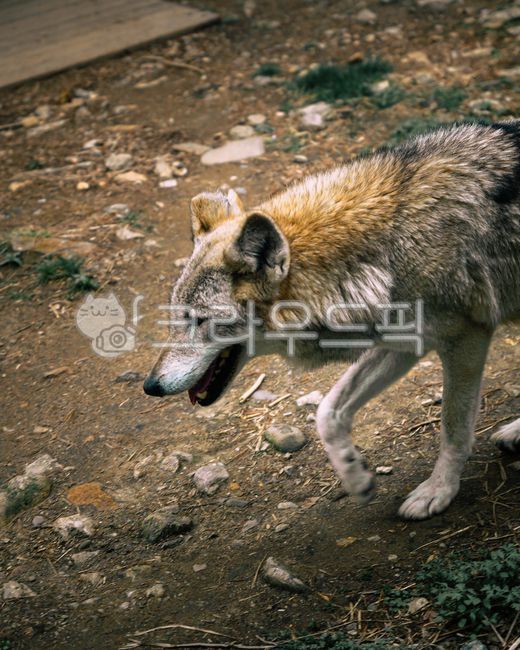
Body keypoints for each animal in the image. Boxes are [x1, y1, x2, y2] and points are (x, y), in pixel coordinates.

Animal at [144, 121, 520, 520]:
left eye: (200, 320)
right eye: (177, 315)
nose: (150, 386)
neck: (386, 249)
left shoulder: (465, 339)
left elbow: (454, 425)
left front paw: (439, 489)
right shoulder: (403, 342)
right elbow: (328, 412)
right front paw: (355, 476)